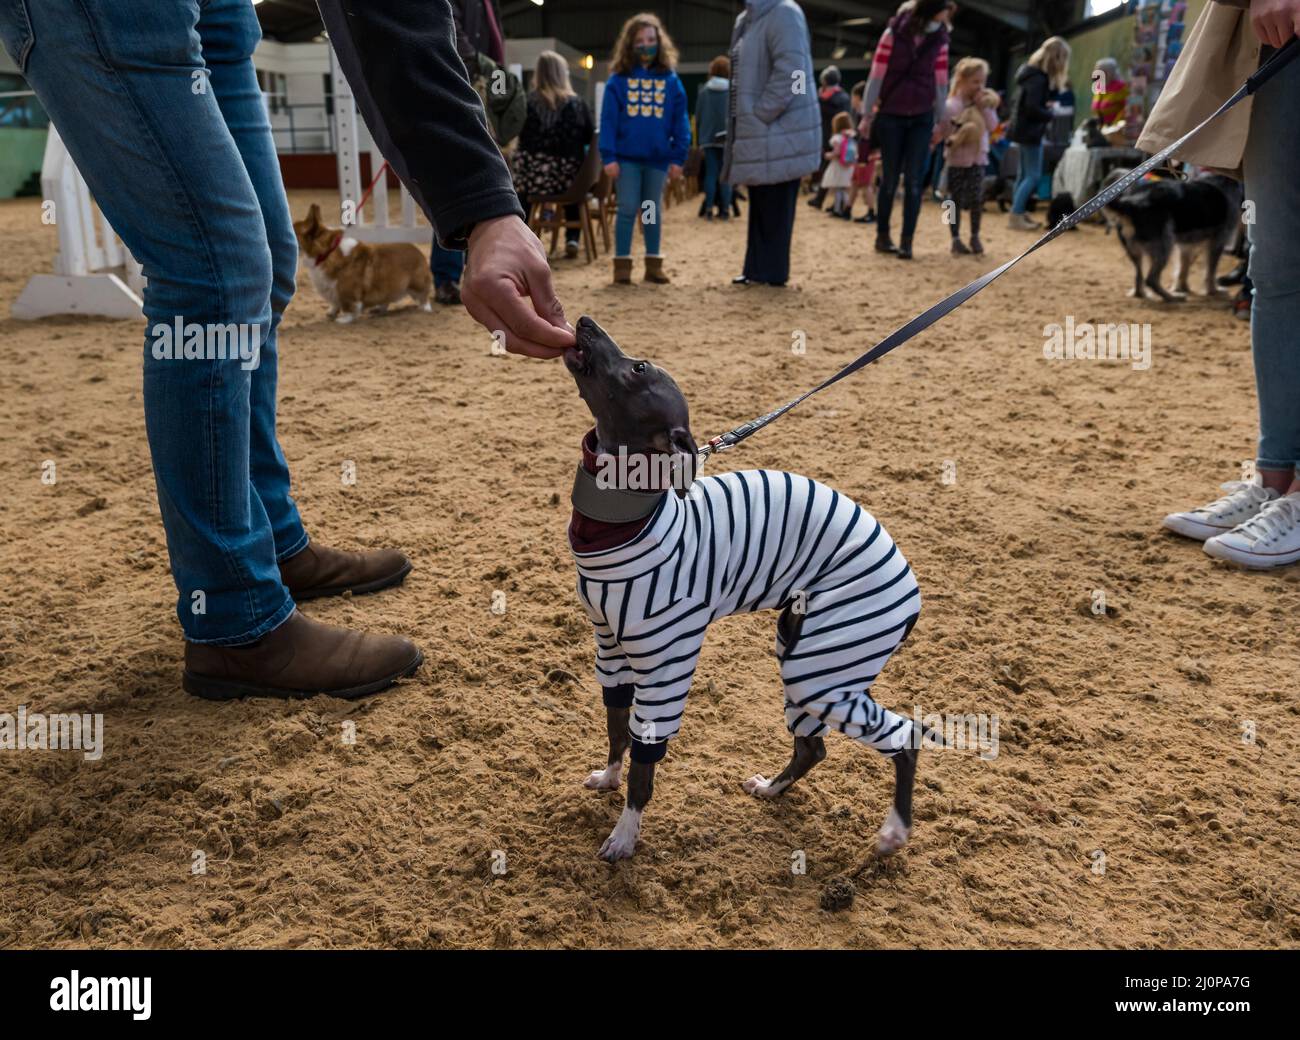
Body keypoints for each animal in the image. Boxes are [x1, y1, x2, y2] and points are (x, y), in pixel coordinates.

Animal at [293, 201, 431, 318]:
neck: (327, 252)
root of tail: (419, 253)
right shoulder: (333, 293)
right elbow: (335, 304)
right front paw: (331, 313)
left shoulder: (347, 294)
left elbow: (349, 308)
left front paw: (343, 320)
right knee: (386, 301)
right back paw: (378, 310)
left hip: (416, 286)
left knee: (424, 297)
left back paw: (424, 309)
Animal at [564, 314, 920, 863]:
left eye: (638, 367)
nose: (583, 320)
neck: (624, 517)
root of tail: (909, 580)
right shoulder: (612, 651)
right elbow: (617, 728)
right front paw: (608, 777)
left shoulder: (666, 667)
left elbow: (645, 762)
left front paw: (625, 835)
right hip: (804, 654)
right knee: (813, 745)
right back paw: (772, 789)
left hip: (823, 668)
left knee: (905, 737)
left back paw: (894, 831)